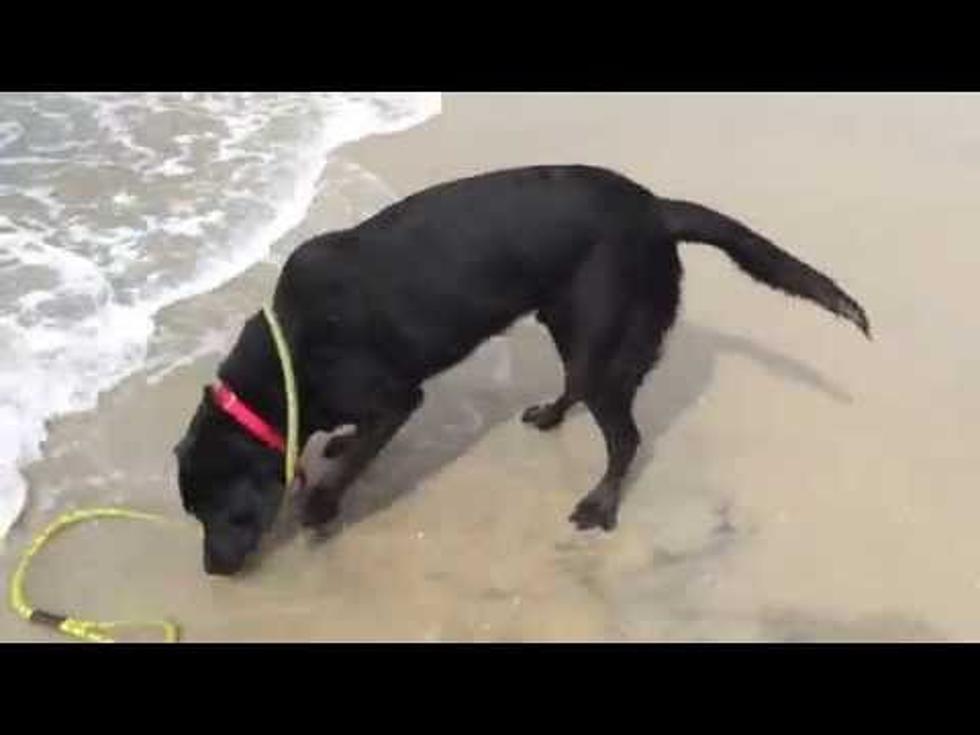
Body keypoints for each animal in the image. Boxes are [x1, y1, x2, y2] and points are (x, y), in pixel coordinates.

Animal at [174, 167, 864, 576]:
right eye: (196, 513)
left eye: (223, 512)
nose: (211, 570)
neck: (287, 362)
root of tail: (655, 208)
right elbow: (351, 444)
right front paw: (337, 449)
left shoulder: (397, 398)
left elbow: (350, 463)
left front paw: (320, 507)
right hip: (567, 321)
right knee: (578, 391)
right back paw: (550, 417)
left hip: (602, 332)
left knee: (625, 436)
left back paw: (598, 504)